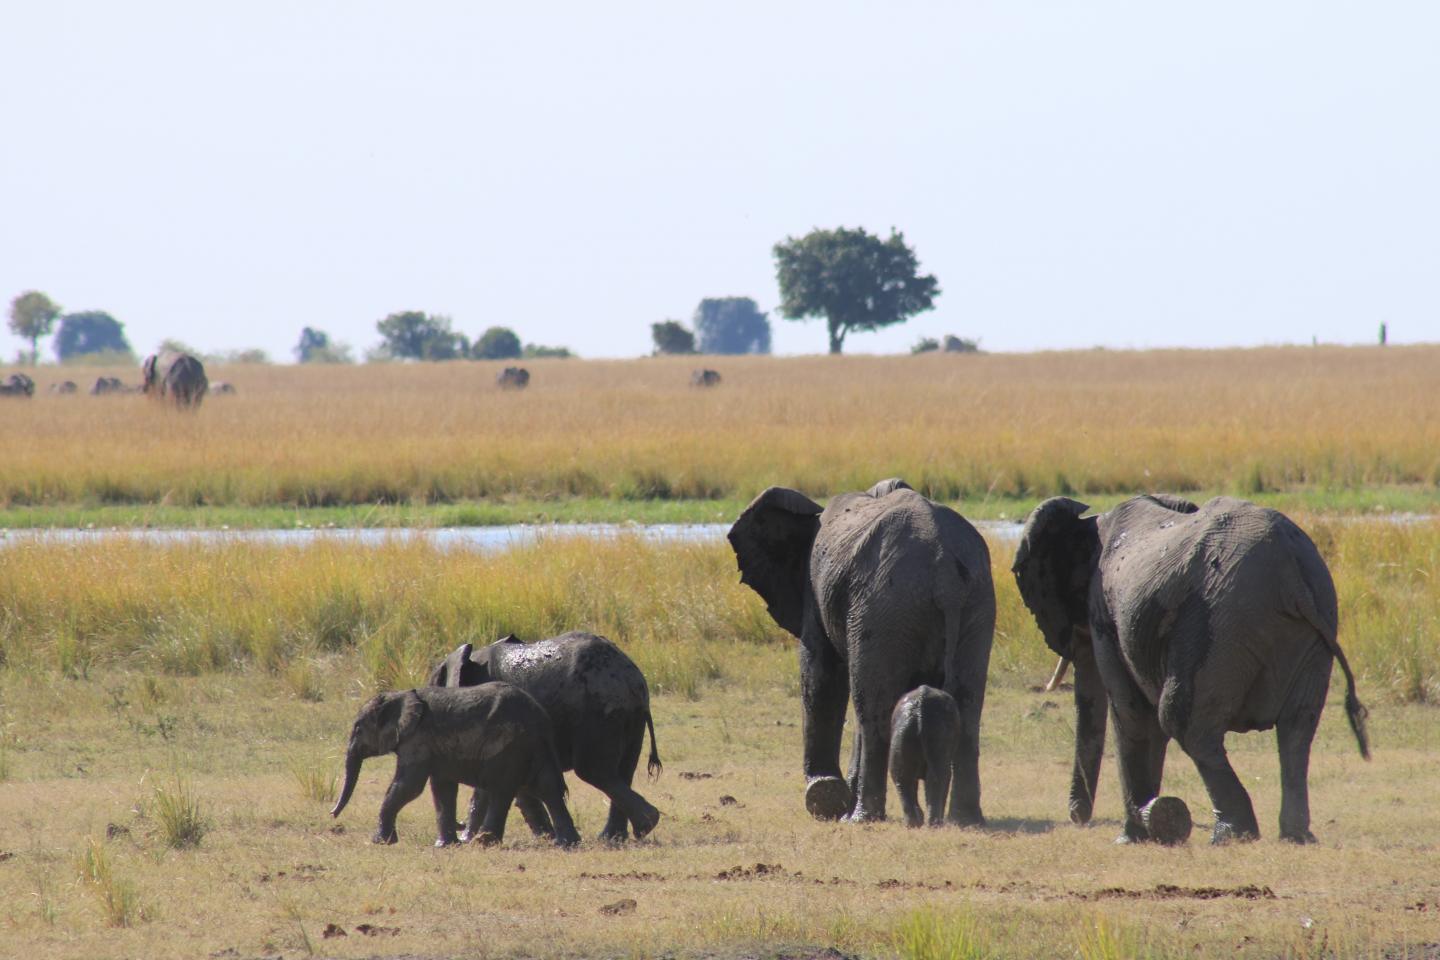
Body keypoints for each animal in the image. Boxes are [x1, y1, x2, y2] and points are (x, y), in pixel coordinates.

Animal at [330, 684, 580, 848]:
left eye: (358, 729)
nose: (332, 814)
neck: (399, 695)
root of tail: (540, 719)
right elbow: (443, 789)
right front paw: (445, 845)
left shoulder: (417, 739)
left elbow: (408, 787)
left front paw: (380, 842)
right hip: (533, 747)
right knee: (549, 789)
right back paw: (567, 843)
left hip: (509, 745)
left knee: (500, 791)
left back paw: (484, 842)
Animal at [429, 632, 662, 842]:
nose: (459, 827)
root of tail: (631, 679)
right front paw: (546, 837)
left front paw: (467, 839)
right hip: (629, 716)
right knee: (622, 771)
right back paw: (620, 835)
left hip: (598, 714)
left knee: (595, 772)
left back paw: (637, 827)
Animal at [889, 685, 962, 828]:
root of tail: (920, 709)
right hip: (937, 734)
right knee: (939, 776)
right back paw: (933, 824)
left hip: (904, 734)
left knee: (901, 777)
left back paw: (913, 824)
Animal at [1012, 494, 1369, 845]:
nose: (1077, 817)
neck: (1091, 522)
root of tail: (1291, 571)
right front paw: (1151, 822)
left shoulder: (1105, 613)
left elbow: (1131, 712)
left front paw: (1131, 837)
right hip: (1312, 628)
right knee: (1297, 729)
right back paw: (1296, 836)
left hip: (1221, 622)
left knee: (1184, 722)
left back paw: (1230, 835)